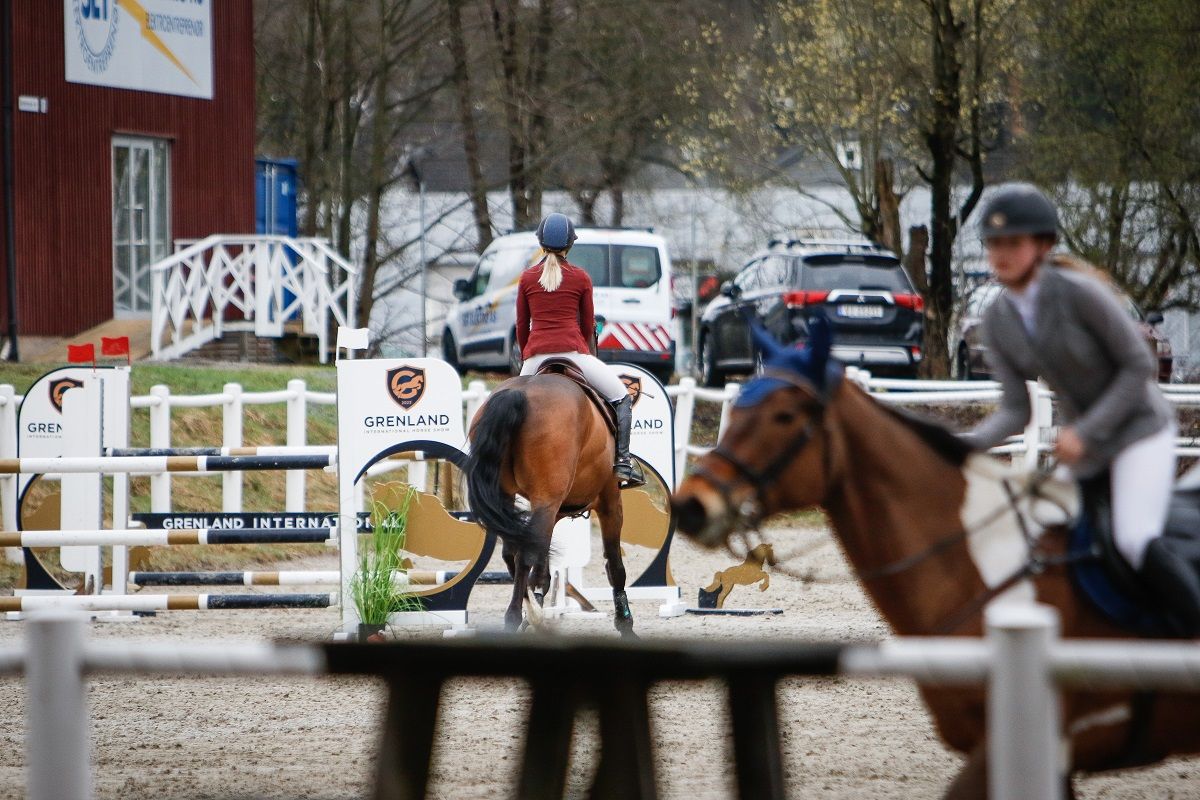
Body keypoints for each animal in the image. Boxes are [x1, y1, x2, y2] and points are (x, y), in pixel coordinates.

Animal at [463, 371, 633, 633]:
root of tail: (519, 393)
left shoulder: (554, 512)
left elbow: (543, 572)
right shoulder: (610, 501)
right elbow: (615, 565)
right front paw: (625, 623)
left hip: (511, 497)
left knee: (512, 553)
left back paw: (529, 614)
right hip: (546, 501)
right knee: (524, 556)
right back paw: (522, 616)